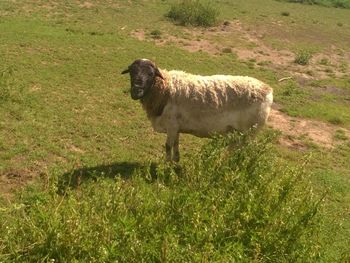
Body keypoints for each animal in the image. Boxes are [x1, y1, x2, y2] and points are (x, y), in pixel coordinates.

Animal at [121, 59, 274, 162]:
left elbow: (167, 146)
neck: (165, 89)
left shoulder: (171, 125)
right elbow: (176, 144)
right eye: (132, 72)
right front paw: (175, 161)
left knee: (243, 151)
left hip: (249, 132)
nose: (136, 91)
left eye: (151, 74)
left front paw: (166, 165)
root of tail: (268, 90)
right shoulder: (176, 126)